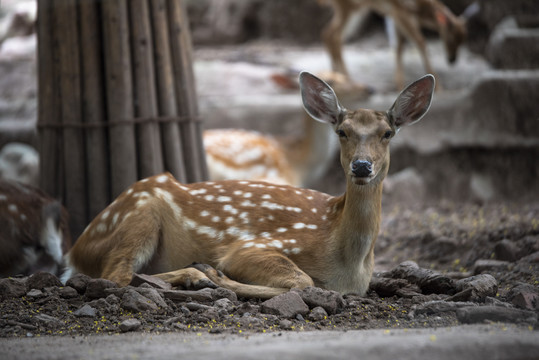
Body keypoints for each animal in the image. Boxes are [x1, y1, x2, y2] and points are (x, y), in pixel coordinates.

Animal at [62, 71, 434, 300]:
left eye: (387, 133)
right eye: (342, 131)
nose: (361, 166)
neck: (348, 260)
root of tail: (76, 250)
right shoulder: (253, 245)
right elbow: (303, 281)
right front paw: (216, 275)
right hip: (142, 214)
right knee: (115, 275)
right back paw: (195, 275)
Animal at [318, 0, 478, 89]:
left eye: (463, 40)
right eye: (450, 39)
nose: (452, 60)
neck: (420, 9)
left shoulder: (394, 15)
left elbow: (399, 46)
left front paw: (399, 85)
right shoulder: (401, 11)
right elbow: (420, 42)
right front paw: (439, 88)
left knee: (330, 34)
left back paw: (337, 76)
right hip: (351, 7)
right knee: (332, 34)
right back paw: (346, 78)